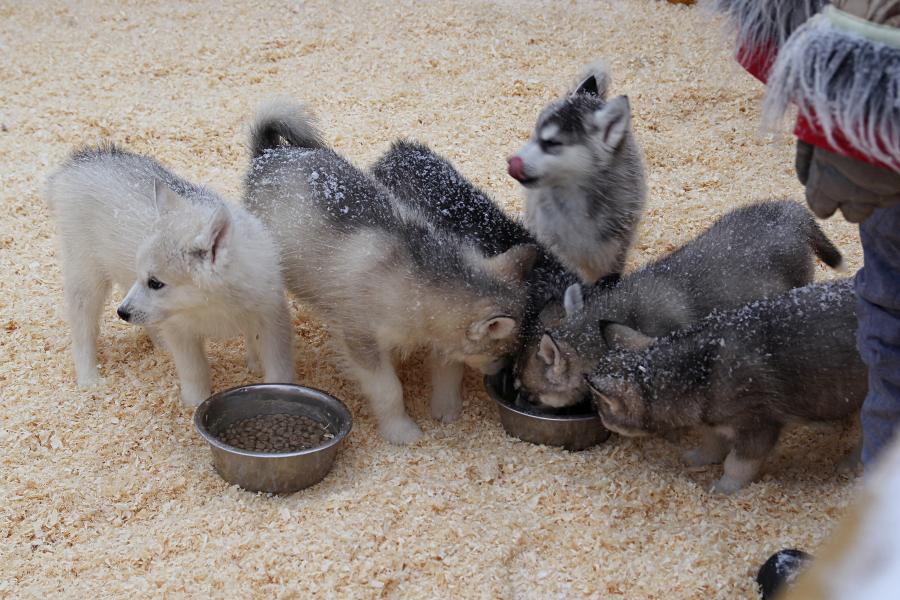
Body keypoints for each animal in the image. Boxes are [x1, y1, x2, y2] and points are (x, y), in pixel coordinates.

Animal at [45, 145, 294, 408]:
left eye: (155, 283)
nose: (121, 313)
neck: (212, 304)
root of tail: (79, 162)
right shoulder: (180, 331)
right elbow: (195, 371)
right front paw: (194, 405)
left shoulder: (271, 316)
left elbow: (278, 365)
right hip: (85, 276)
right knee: (82, 329)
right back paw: (88, 377)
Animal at [244, 101, 536, 442]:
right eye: (502, 353)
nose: (507, 380)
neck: (419, 277)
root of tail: (268, 154)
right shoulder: (361, 340)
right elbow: (389, 390)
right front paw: (401, 430)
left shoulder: (436, 331)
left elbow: (448, 369)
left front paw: (446, 407)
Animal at [584, 278, 864, 494]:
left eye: (599, 408)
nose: (600, 420)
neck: (700, 370)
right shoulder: (714, 420)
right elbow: (712, 443)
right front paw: (698, 457)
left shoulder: (758, 427)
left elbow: (737, 464)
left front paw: (725, 487)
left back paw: (851, 463)